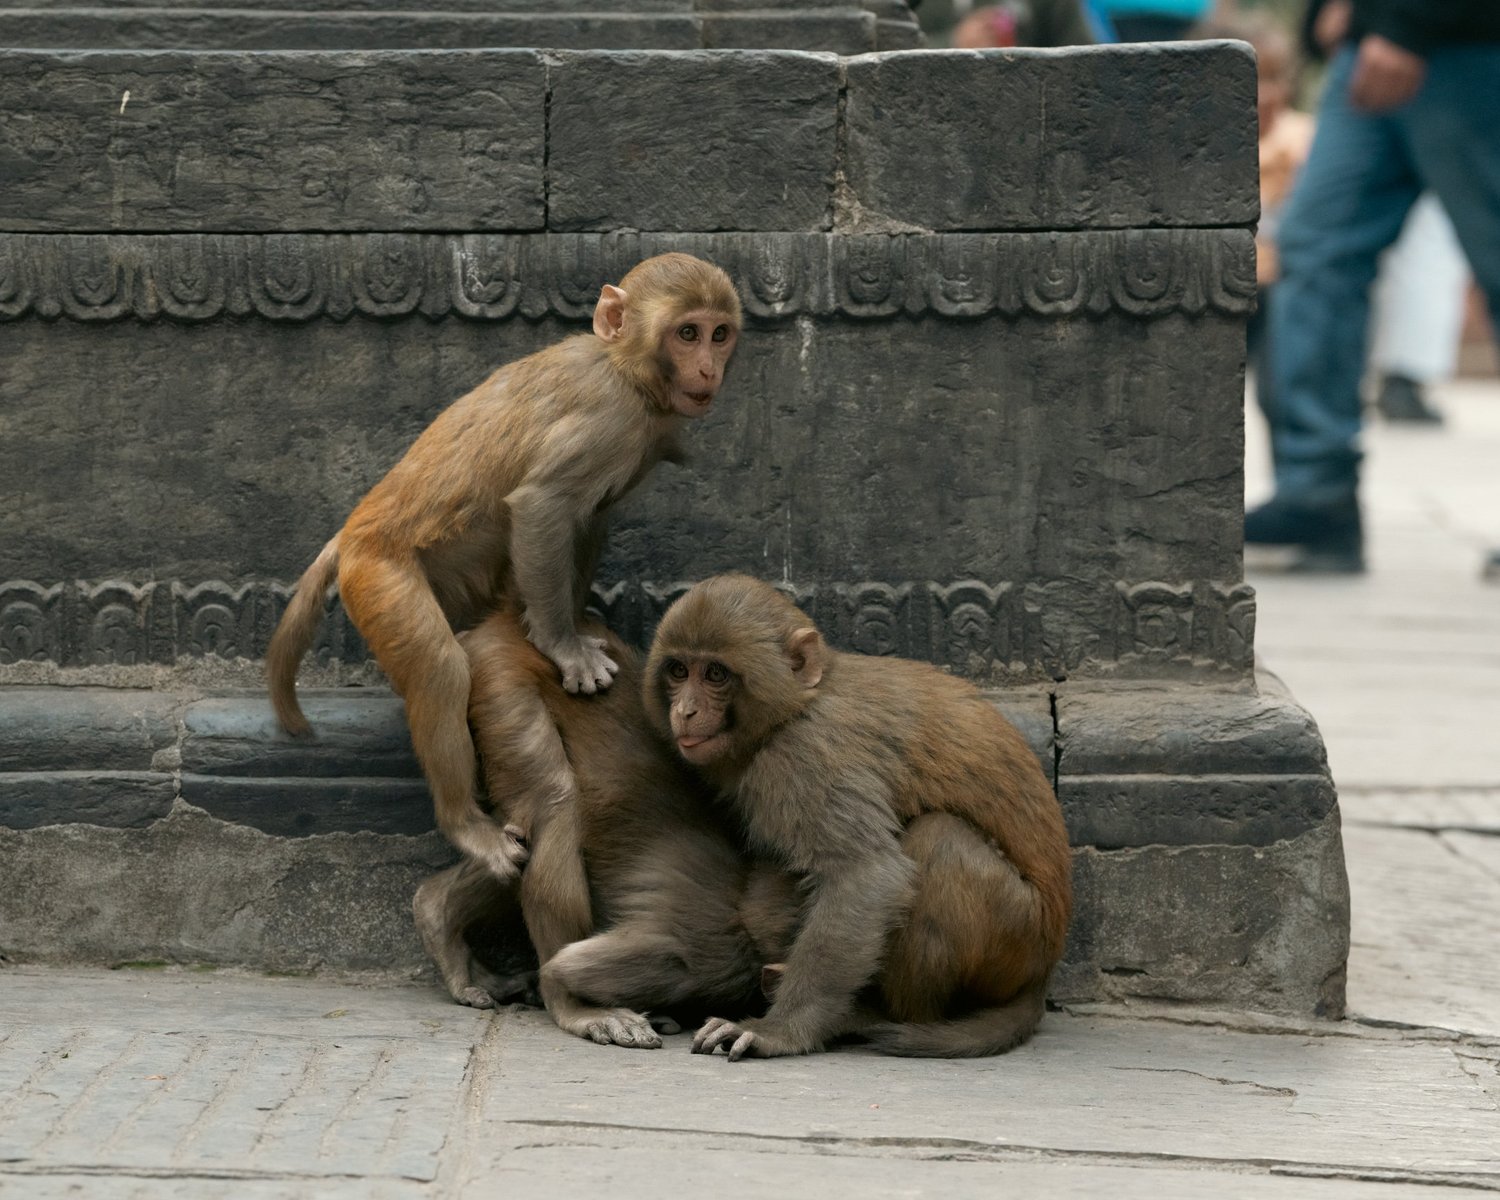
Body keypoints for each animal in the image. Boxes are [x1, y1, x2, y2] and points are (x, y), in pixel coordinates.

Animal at [266, 253, 742, 883]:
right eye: (687, 333)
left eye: (719, 333)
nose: (709, 367)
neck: (626, 368)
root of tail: (349, 538)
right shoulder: (610, 419)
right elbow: (543, 504)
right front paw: (562, 644)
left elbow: (588, 517)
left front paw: (558, 623)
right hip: (379, 577)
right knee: (440, 668)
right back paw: (466, 826)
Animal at [412, 607, 803, 1048]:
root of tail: (498, 626)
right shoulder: (713, 954)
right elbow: (567, 966)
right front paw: (572, 997)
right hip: (501, 681)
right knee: (554, 803)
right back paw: (574, 1010)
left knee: (515, 850)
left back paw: (437, 909)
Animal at [642, 573, 1074, 1060]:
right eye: (679, 671)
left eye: (715, 673)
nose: (685, 711)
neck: (799, 705)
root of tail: (1043, 973)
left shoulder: (807, 755)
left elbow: (864, 875)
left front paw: (781, 1030)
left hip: (1020, 937)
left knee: (939, 840)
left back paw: (876, 1017)